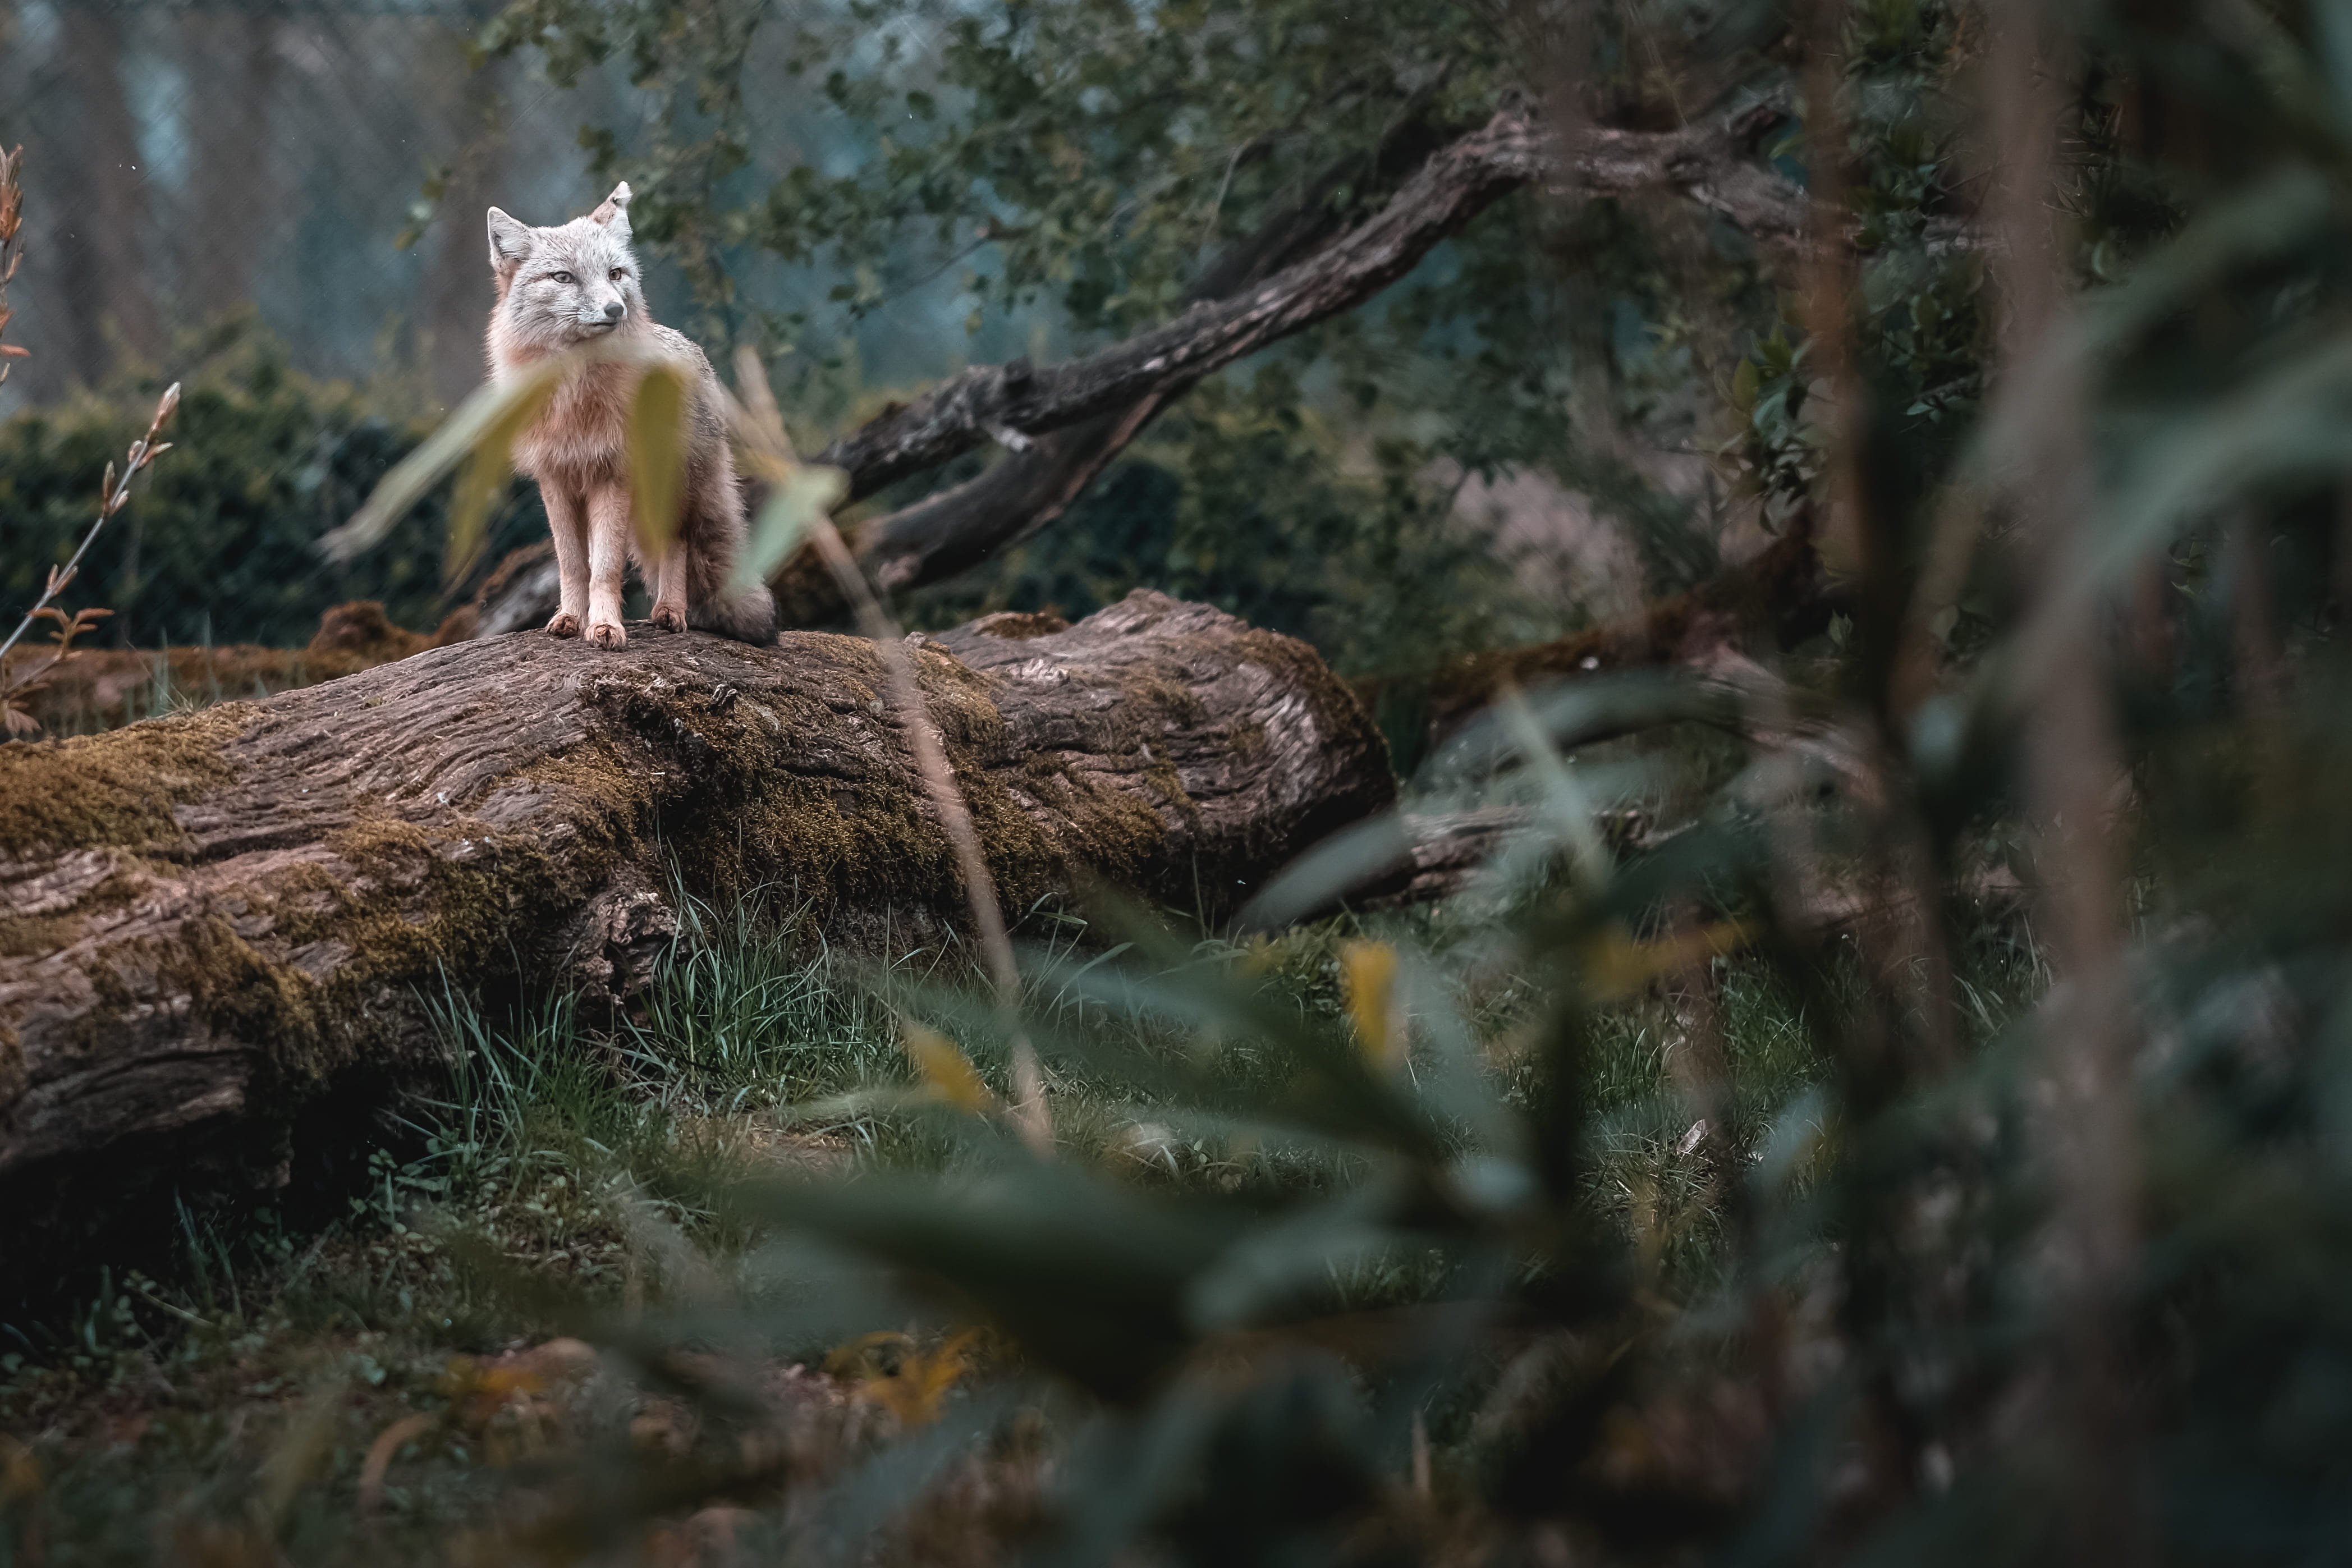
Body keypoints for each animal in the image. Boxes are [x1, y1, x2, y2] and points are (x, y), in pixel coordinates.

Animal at [484, 182, 776, 650]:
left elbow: (605, 567)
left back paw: (671, 611)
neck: (574, 400)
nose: (615, 310)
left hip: (671, 490)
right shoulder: (556, 480)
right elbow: (574, 565)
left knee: (676, 546)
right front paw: (571, 618)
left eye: (615, 275)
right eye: (563, 278)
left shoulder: (612, 476)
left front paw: (605, 627)